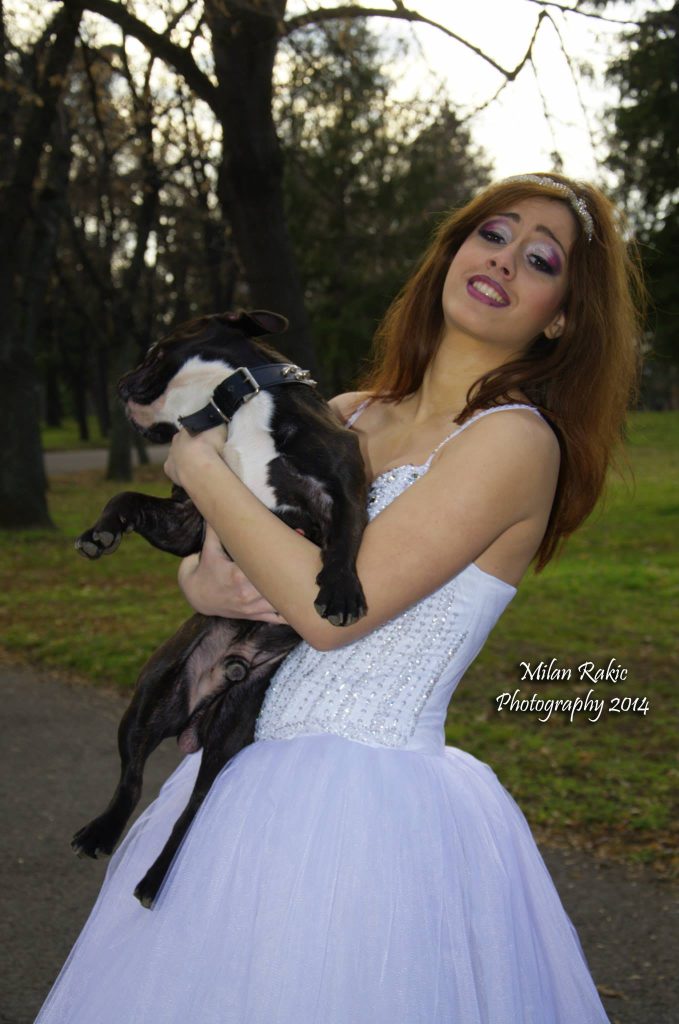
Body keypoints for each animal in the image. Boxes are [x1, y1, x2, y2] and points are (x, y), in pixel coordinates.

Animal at [71, 309, 368, 908]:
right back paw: (105, 834)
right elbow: (128, 499)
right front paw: (101, 533)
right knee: (132, 779)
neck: (237, 405)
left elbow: (346, 529)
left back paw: (153, 878)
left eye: (153, 350)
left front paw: (341, 590)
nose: (121, 379)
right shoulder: (190, 519)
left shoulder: (342, 477)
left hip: (233, 726)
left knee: (192, 809)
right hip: (150, 695)